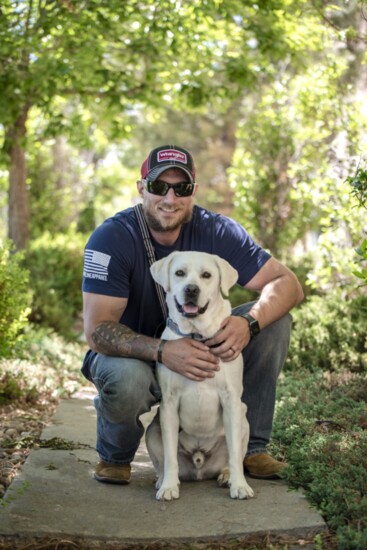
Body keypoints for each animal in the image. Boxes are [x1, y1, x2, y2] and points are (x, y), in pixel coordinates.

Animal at [145, 252, 254, 502]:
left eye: (206, 275)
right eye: (179, 273)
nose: (192, 289)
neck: (197, 335)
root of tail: (199, 462)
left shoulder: (232, 400)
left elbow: (235, 453)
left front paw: (239, 486)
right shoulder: (169, 404)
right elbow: (169, 456)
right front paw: (168, 487)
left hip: (244, 419)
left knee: (233, 456)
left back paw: (226, 476)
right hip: (152, 431)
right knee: (163, 462)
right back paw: (162, 480)